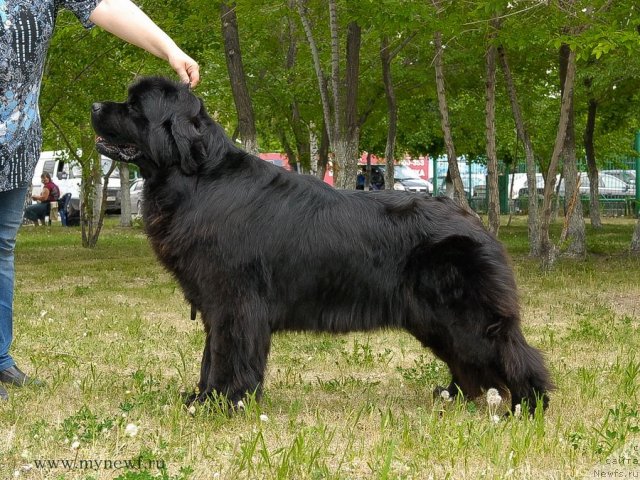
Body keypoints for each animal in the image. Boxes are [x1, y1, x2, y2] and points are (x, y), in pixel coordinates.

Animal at [92, 77, 552, 414]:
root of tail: (472, 218)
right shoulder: (215, 302)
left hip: (465, 315)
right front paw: (201, 397)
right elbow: (211, 355)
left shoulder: (233, 302)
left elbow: (227, 354)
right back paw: (456, 396)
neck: (197, 179)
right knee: (471, 361)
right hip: (434, 319)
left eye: (134, 107)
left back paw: (528, 406)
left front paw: (220, 403)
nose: (96, 105)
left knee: (512, 353)